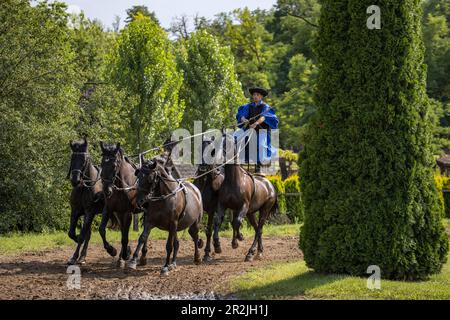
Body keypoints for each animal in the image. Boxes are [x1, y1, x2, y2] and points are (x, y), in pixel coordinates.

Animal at [215, 134, 276, 262]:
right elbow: (219, 220)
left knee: (259, 229)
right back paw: (259, 252)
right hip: (250, 213)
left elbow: (237, 222)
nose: (217, 162)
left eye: (226, 144)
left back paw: (250, 253)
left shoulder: (243, 206)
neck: (233, 181)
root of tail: (270, 185)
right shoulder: (223, 204)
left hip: (264, 210)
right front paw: (217, 246)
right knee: (257, 228)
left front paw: (238, 239)